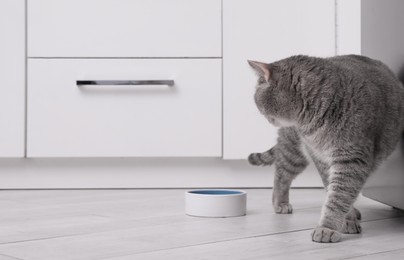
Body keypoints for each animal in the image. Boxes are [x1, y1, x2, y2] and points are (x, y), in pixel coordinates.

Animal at [248, 55, 404, 244]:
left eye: (257, 101)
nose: (265, 118)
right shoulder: (320, 157)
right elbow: (332, 189)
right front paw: (345, 220)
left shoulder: (351, 159)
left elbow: (339, 195)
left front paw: (328, 227)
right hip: (295, 150)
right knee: (281, 174)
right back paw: (280, 203)